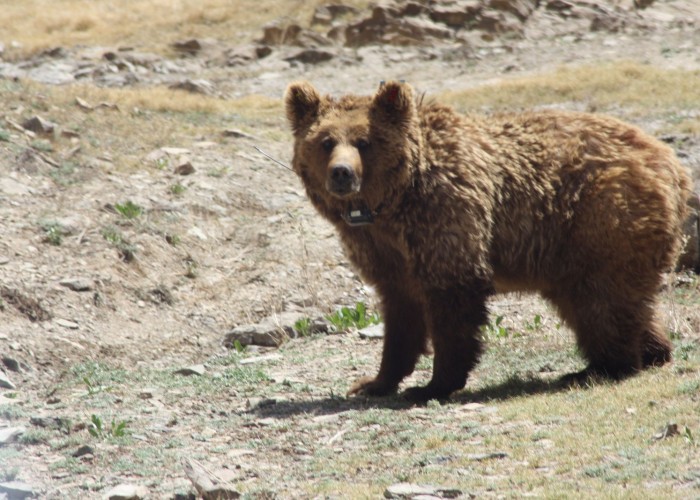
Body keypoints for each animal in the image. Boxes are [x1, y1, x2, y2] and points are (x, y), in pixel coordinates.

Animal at [284, 81, 688, 402]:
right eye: (325, 141)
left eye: (364, 141)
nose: (341, 173)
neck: (393, 203)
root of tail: (670, 162)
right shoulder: (383, 247)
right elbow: (400, 311)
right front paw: (373, 382)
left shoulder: (445, 216)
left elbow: (452, 299)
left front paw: (433, 385)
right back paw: (651, 351)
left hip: (598, 216)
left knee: (600, 297)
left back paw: (603, 367)